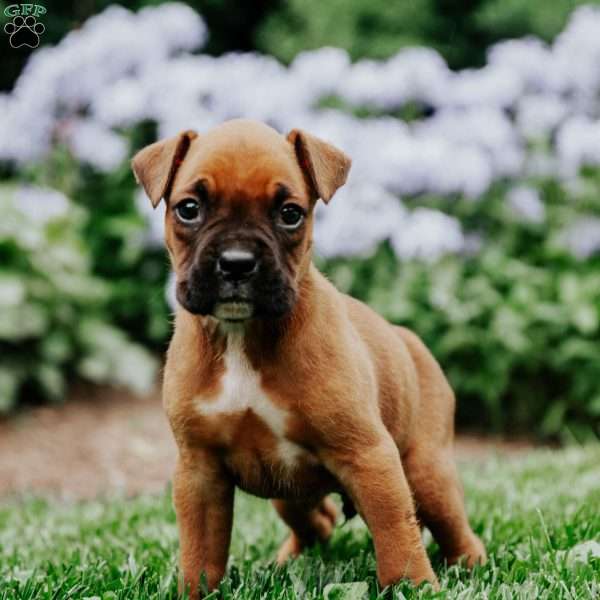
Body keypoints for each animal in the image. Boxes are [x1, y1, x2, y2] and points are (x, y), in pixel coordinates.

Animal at [132, 119, 488, 596]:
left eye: (290, 214)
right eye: (188, 209)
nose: (237, 263)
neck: (244, 336)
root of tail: (408, 338)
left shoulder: (369, 456)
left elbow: (396, 532)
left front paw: (412, 586)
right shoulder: (200, 472)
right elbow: (199, 551)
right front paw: (196, 591)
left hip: (427, 473)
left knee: (451, 525)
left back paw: (469, 562)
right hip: (289, 494)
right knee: (317, 520)